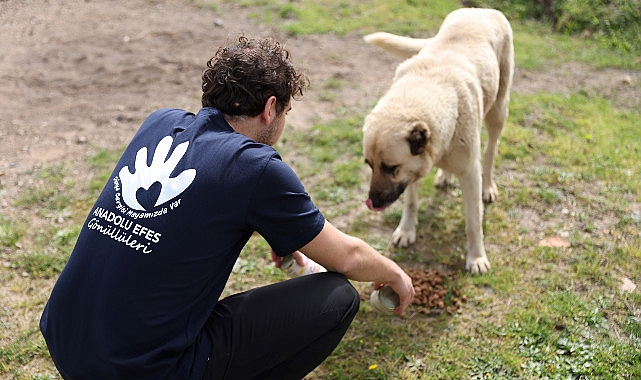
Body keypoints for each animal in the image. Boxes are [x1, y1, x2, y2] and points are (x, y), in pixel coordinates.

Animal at [362, 6, 512, 274]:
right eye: (369, 165)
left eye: (391, 167)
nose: (373, 202)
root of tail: (481, 9)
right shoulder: (411, 173)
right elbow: (410, 202)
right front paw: (406, 230)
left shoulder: (469, 175)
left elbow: (474, 222)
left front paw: (476, 257)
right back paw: (445, 175)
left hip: (498, 111)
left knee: (490, 152)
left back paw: (488, 187)